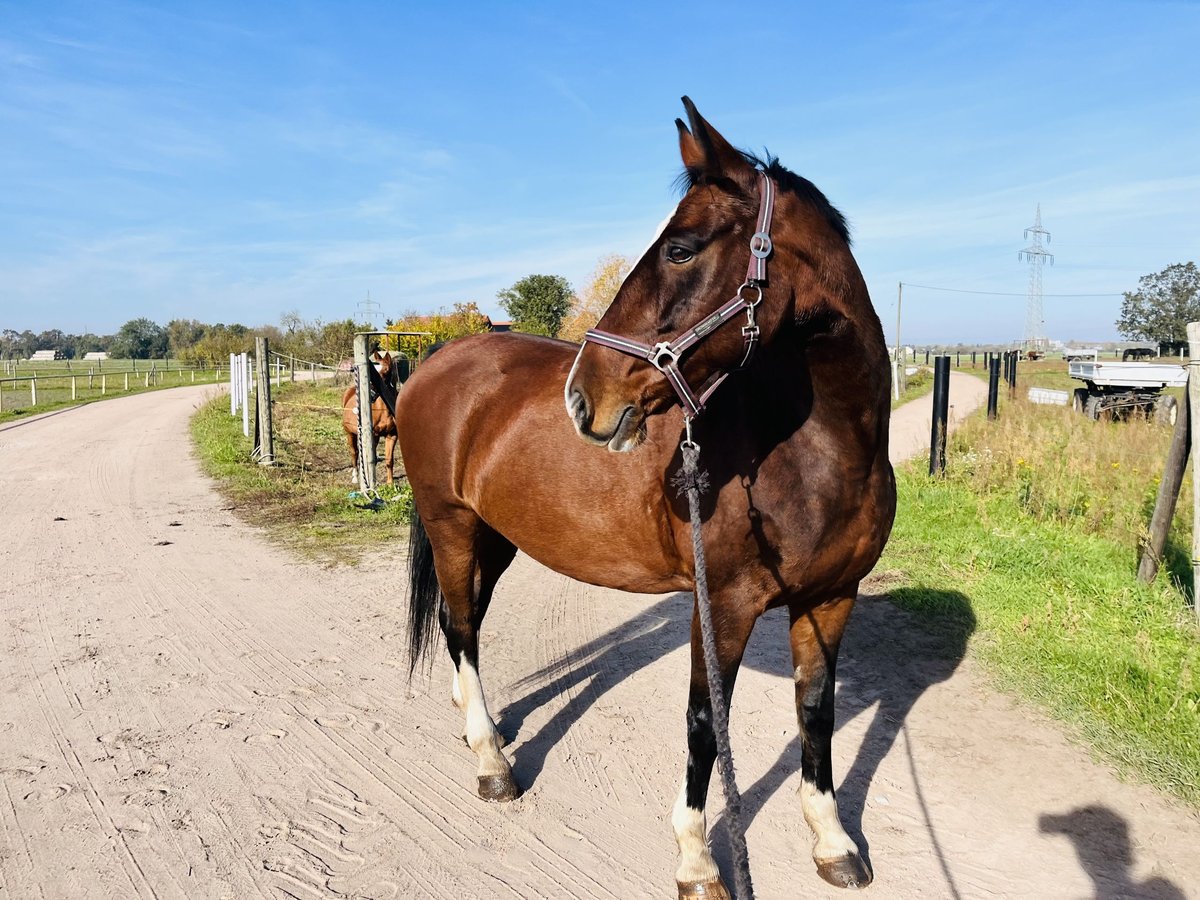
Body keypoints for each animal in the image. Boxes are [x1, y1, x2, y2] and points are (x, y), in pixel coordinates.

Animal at [340, 350, 400, 487]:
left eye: (386, 370)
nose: (371, 395)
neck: (382, 410)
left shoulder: (392, 435)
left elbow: (389, 460)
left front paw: (390, 484)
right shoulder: (373, 436)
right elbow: (371, 460)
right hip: (350, 433)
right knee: (354, 453)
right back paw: (355, 477)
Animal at [398, 95, 897, 897]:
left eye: (682, 249)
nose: (584, 398)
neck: (817, 456)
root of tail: (442, 355)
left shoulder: (831, 598)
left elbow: (815, 713)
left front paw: (833, 841)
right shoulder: (720, 604)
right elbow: (703, 723)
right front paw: (696, 858)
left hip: (496, 535)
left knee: (460, 618)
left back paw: (480, 724)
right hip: (451, 524)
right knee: (462, 626)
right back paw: (491, 760)